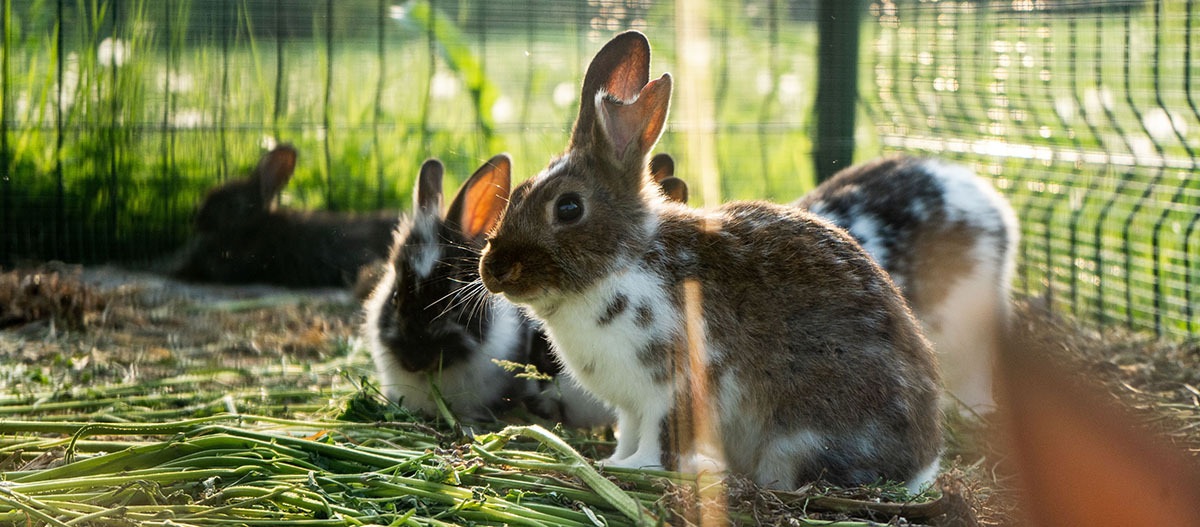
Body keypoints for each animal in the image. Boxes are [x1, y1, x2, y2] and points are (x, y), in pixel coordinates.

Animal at [478, 31, 942, 491]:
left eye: (569, 208)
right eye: (517, 193)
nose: (493, 269)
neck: (624, 261)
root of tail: (923, 464)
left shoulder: (673, 386)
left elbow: (659, 438)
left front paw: (639, 470)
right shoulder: (631, 405)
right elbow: (629, 432)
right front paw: (614, 462)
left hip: (801, 437)